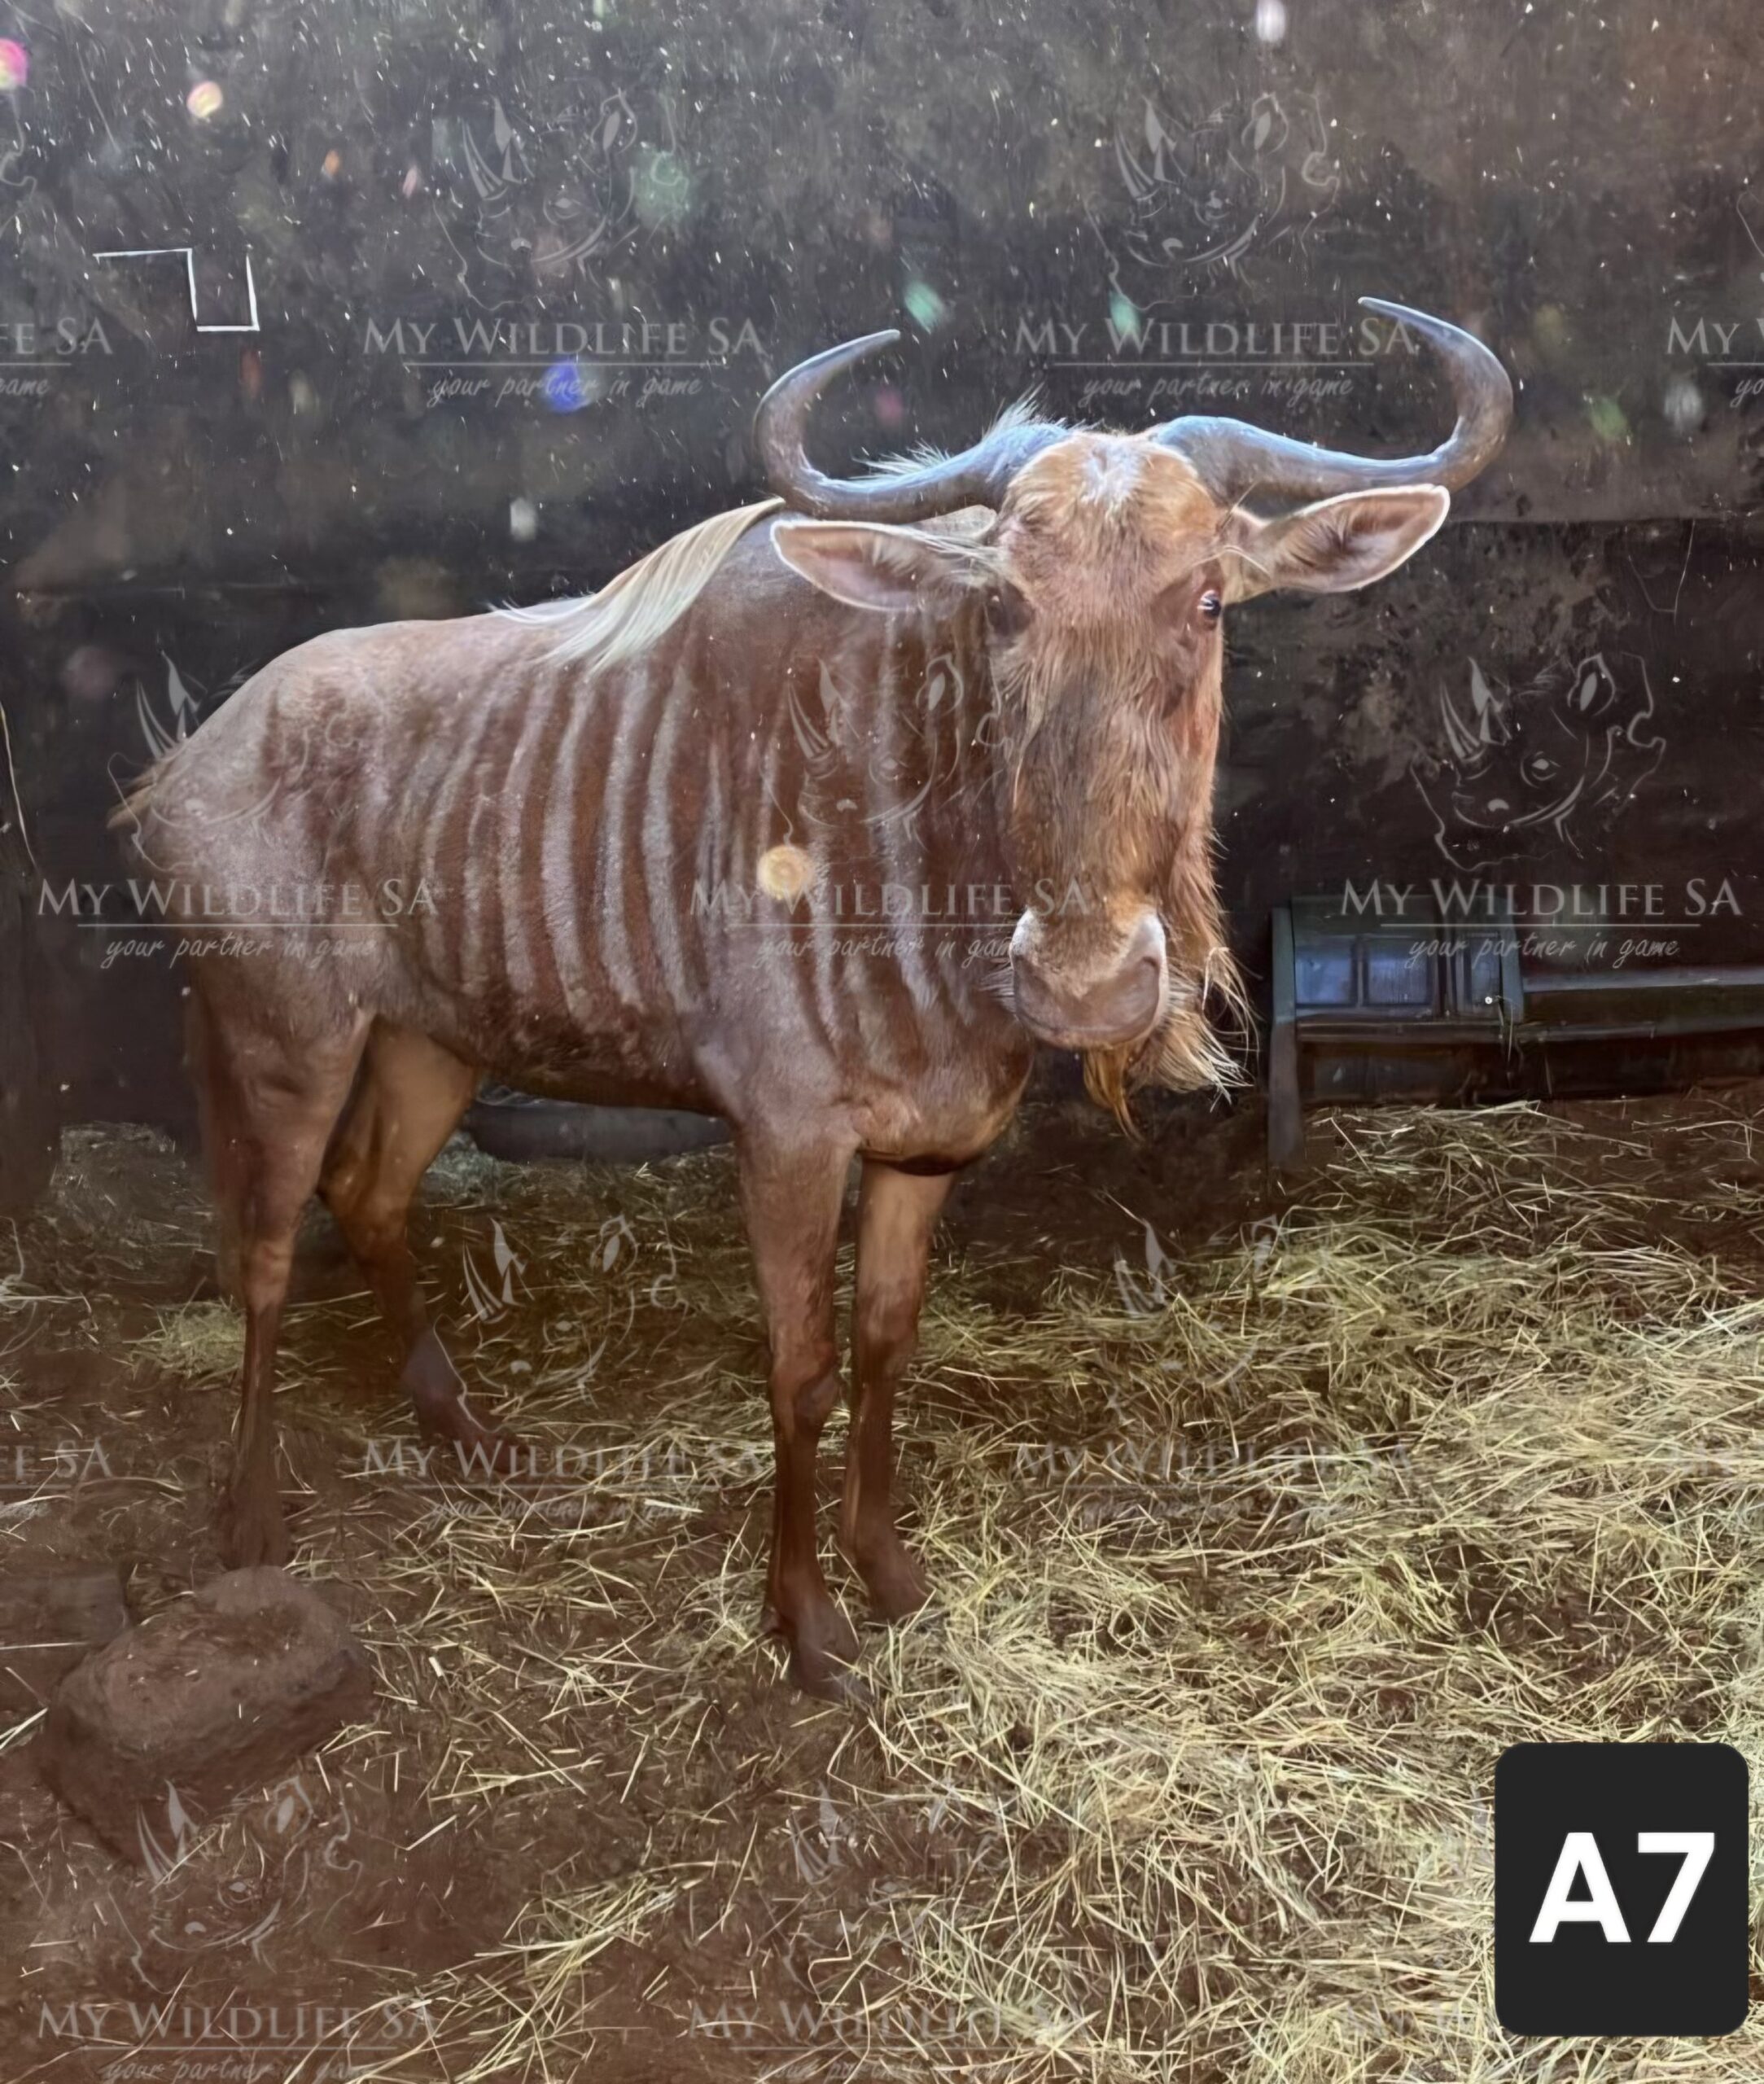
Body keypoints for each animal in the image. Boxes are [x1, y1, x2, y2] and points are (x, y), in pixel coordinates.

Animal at [112, 299, 1510, 1698]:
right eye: (1001, 608)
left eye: (1208, 598)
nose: (1084, 985)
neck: (911, 839)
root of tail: (188, 758)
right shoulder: (783, 1144)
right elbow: (800, 1372)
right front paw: (804, 1622)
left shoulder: (923, 1148)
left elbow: (885, 1346)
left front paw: (884, 1569)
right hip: (286, 1038)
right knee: (268, 1246)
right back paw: (250, 1520)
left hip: (432, 1041)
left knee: (370, 1195)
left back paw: (463, 1426)